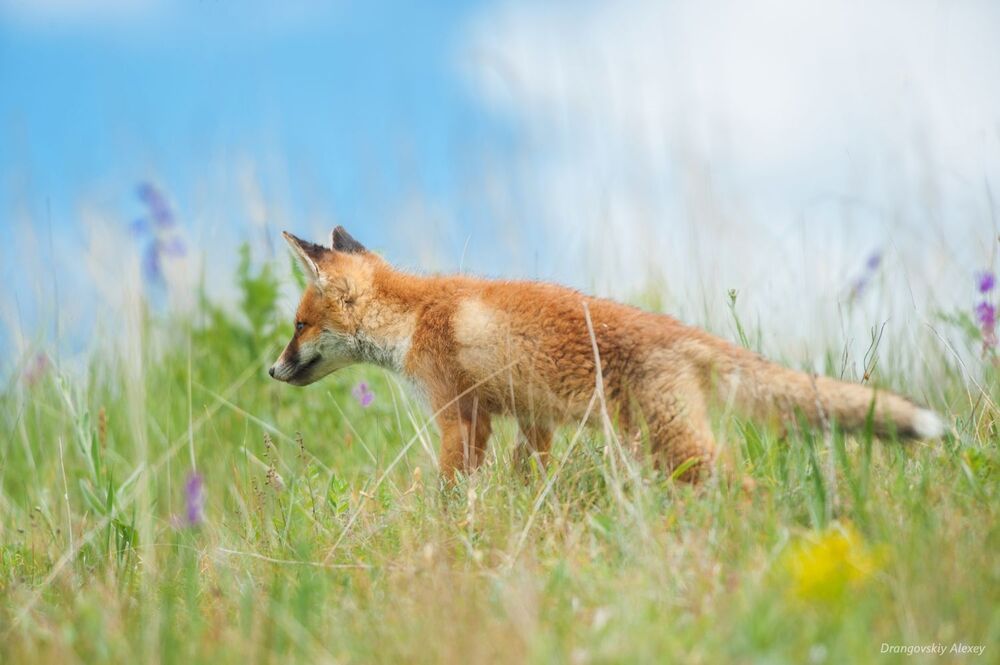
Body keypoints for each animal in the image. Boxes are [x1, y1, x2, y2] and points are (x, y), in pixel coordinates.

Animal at [269, 227, 945, 482]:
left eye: (299, 325)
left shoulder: (460, 415)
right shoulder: (529, 418)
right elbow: (528, 473)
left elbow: (452, 485)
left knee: (738, 478)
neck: (413, 316)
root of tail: (681, 332)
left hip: (671, 441)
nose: (272, 370)